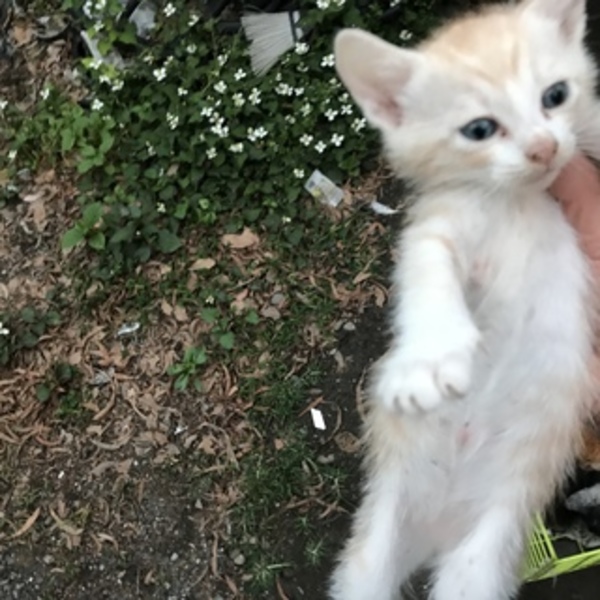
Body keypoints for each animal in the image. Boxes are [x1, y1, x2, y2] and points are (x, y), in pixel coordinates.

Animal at [329, 1, 600, 599]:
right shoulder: (437, 225)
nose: (544, 148)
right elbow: (428, 270)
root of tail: (436, 535)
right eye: (479, 129)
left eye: (555, 95)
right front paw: (428, 359)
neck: (514, 201)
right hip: (373, 548)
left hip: (483, 558)